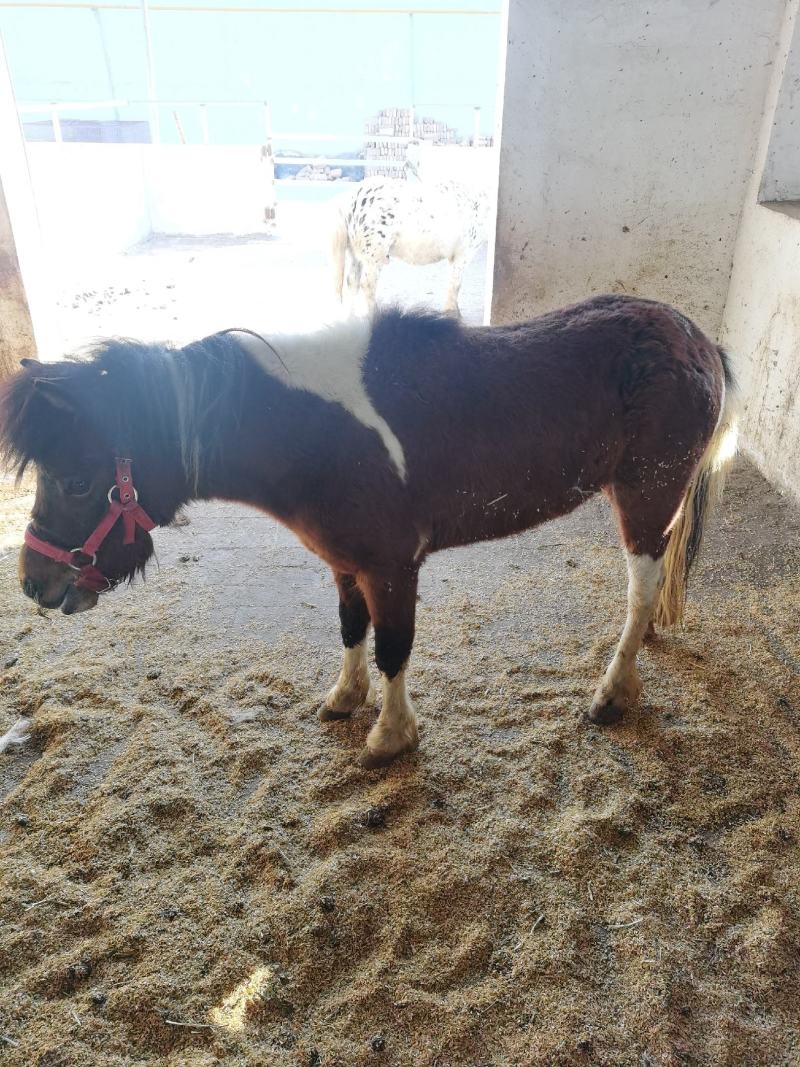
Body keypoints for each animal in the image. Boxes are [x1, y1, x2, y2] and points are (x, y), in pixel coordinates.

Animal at [0, 294, 736, 770]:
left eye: (76, 481)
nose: (35, 583)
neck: (314, 433)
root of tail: (698, 340)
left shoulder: (392, 567)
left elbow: (393, 647)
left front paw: (389, 737)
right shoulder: (343, 562)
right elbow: (352, 629)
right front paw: (344, 699)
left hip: (644, 498)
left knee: (639, 593)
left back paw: (612, 693)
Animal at [331, 173, 488, 316]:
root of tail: (353, 197)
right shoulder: (464, 252)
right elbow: (455, 285)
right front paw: (452, 314)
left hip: (355, 253)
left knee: (352, 281)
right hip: (374, 254)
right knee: (367, 284)